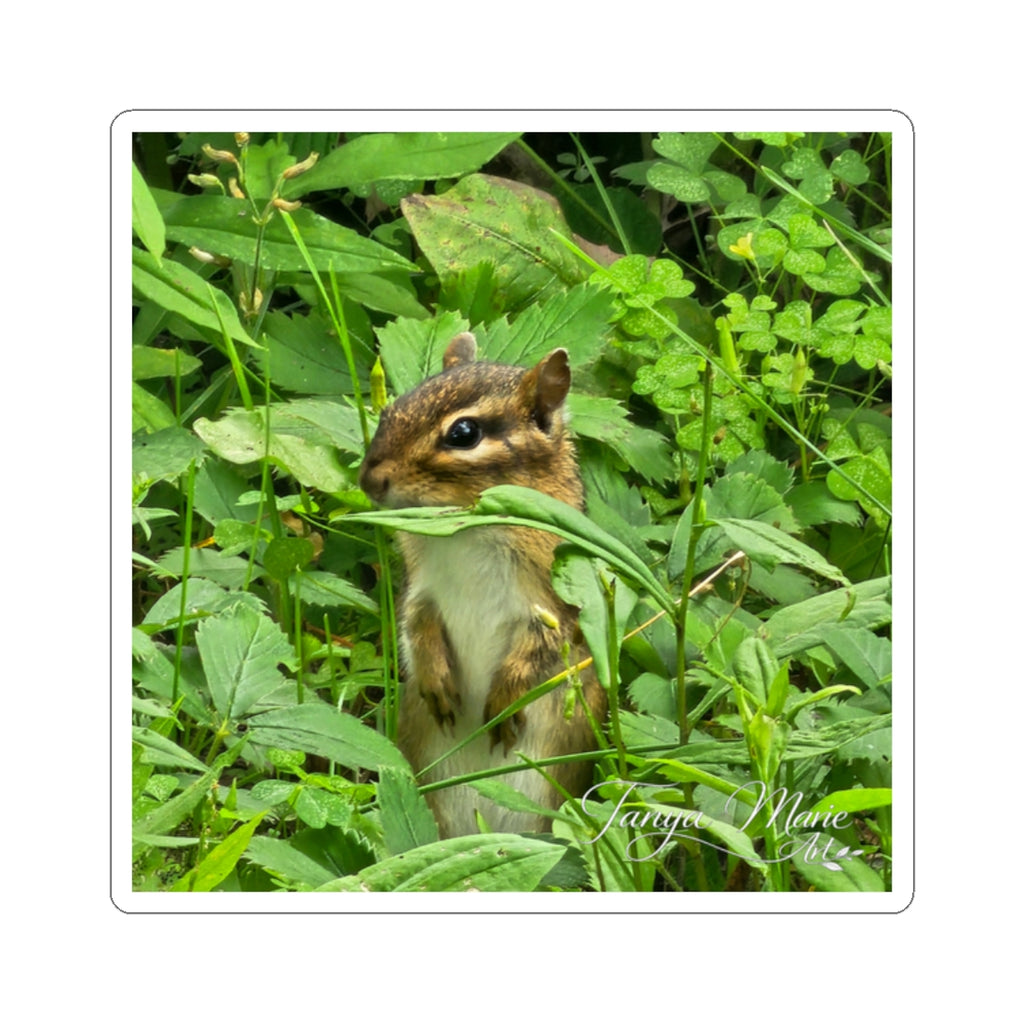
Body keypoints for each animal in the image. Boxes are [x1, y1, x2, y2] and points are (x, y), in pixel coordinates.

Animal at [359, 332, 606, 838]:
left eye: (464, 434)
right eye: (392, 409)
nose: (368, 479)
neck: (465, 532)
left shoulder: (552, 604)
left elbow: (539, 652)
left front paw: (505, 704)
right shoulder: (421, 589)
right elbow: (415, 626)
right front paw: (436, 681)